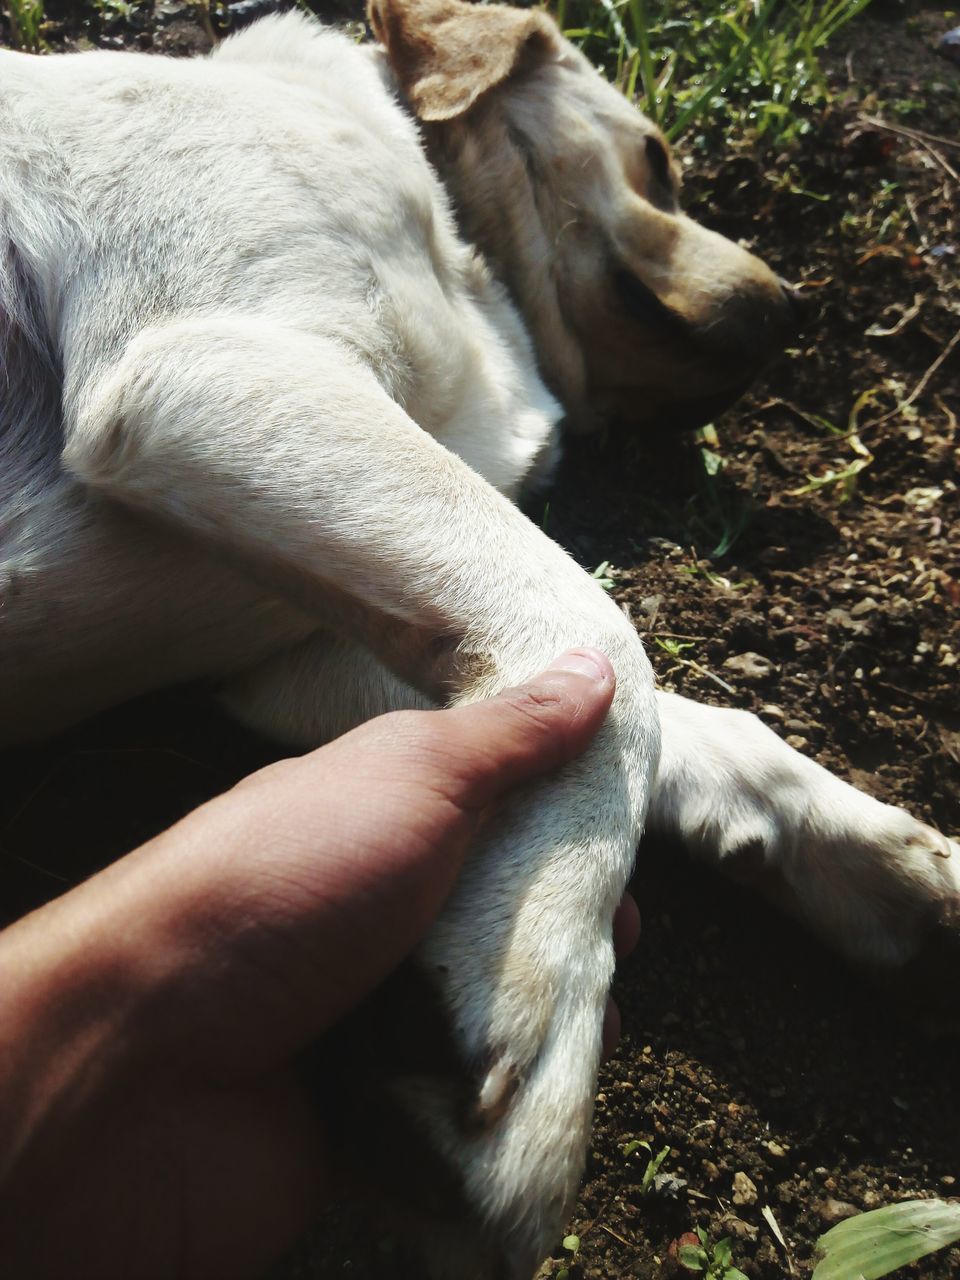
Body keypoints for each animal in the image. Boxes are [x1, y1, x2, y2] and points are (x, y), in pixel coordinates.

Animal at [0, 0, 957, 1274]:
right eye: (658, 156)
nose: (802, 308)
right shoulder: (214, 367)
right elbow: (604, 638)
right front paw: (533, 981)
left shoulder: (292, 655)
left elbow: (677, 717)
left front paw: (875, 862)